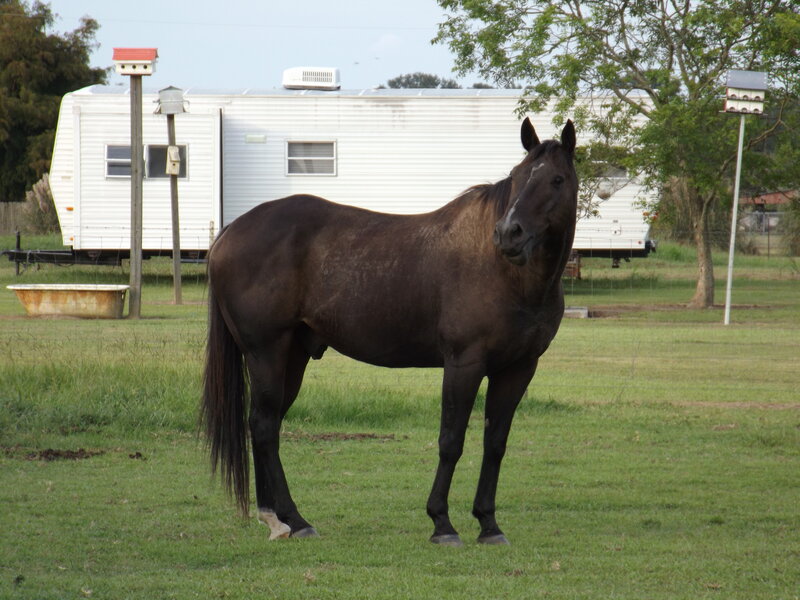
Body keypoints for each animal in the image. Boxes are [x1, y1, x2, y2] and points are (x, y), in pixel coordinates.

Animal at [202, 117, 578, 546]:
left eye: (557, 179)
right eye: (516, 176)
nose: (509, 234)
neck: (505, 273)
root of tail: (229, 233)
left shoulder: (518, 369)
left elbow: (495, 443)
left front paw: (488, 524)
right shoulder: (464, 364)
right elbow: (451, 440)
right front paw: (442, 523)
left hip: (292, 357)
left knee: (269, 425)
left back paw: (281, 518)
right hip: (266, 352)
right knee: (263, 426)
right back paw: (290, 519)